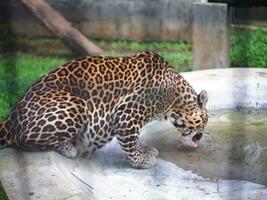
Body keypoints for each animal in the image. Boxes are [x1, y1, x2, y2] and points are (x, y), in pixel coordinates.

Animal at [0, 51, 209, 169]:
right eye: (206, 121)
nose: (202, 136)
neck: (176, 101)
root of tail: (11, 114)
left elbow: (135, 140)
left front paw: (144, 149)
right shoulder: (127, 114)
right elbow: (130, 143)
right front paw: (141, 161)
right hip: (77, 106)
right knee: (22, 140)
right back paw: (68, 147)